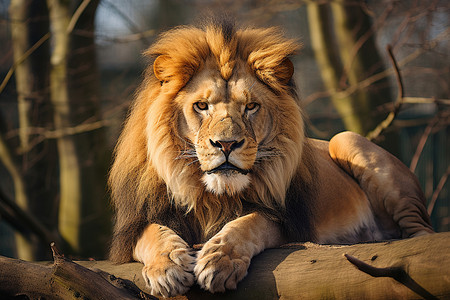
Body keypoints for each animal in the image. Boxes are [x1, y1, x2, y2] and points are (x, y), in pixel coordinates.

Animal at [108, 21, 432, 298]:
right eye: (201, 106)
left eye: (251, 106)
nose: (226, 144)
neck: (212, 196)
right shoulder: (134, 226)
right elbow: (152, 234)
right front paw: (168, 267)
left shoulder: (287, 223)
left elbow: (248, 223)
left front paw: (219, 260)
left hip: (347, 139)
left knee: (421, 235)